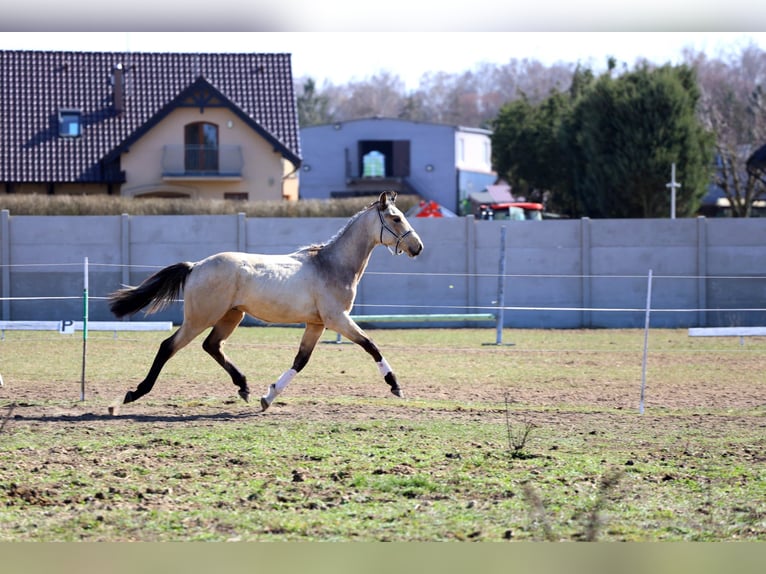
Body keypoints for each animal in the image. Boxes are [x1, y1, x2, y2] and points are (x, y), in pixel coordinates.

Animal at [107, 191, 424, 412]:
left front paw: (267, 397)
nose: (417, 247)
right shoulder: (337, 319)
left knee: (212, 345)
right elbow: (371, 345)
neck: (331, 264)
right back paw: (134, 393)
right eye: (396, 218)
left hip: (231, 316)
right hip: (200, 318)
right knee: (168, 346)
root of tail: (196, 266)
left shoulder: (316, 324)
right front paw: (395, 386)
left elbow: (301, 360)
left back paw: (244, 387)